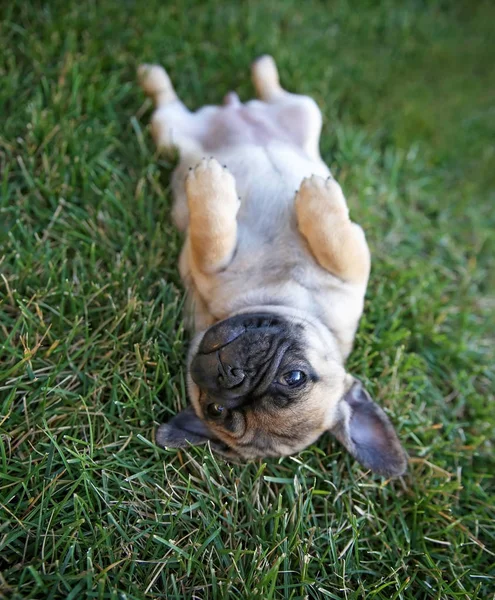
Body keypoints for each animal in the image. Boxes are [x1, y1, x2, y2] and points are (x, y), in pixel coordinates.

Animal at [137, 57, 406, 478]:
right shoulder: (352, 270)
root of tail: (236, 108)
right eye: (294, 377)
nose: (231, 375)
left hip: (170, 129)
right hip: (294, 112)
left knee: (169, 103)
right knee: (269, 93)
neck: (280, 293)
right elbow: (336, 242)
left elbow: (211, 238)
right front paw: (316, 197)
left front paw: (211, 188)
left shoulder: (210, 266)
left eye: (215, 409)